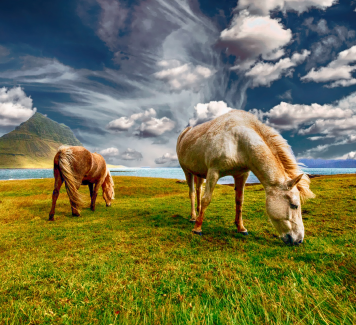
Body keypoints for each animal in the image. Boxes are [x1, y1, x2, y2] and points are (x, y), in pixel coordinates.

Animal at [176, 109, 314, 243]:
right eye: (294, 205)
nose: (299, 240)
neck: (238, 141)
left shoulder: (241, 175)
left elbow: (239, 201)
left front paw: (241, 228)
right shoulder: (213, 172)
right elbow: (207, 199)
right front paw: (197, 228)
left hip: (199, 173)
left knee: (199, 190)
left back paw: (198, 212)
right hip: (187, 171)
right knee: (192, 193)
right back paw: (194, 217)